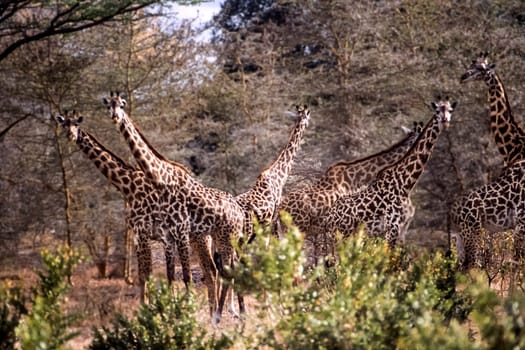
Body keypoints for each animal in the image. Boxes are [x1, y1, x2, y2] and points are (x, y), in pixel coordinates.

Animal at [103, 91, 245, 322]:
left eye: (122, 105)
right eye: (108, 105)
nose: (115, 117)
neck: (161, 178)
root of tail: (240, 211)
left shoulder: (179, 231)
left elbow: (184, 276)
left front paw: (183, 313)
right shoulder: (168, 235)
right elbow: (169, 276)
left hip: (226, 237)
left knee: (224, 270)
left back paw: (221, 314)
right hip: (220, 237)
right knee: (224, 269)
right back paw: (233, 312)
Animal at [322, 97, 456, 247]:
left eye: (450, 110)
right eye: (437, 110)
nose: (445, 120)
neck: (405, 184)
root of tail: (328, 217)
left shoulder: (399, 229)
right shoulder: (392, 228)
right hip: (338, 237)